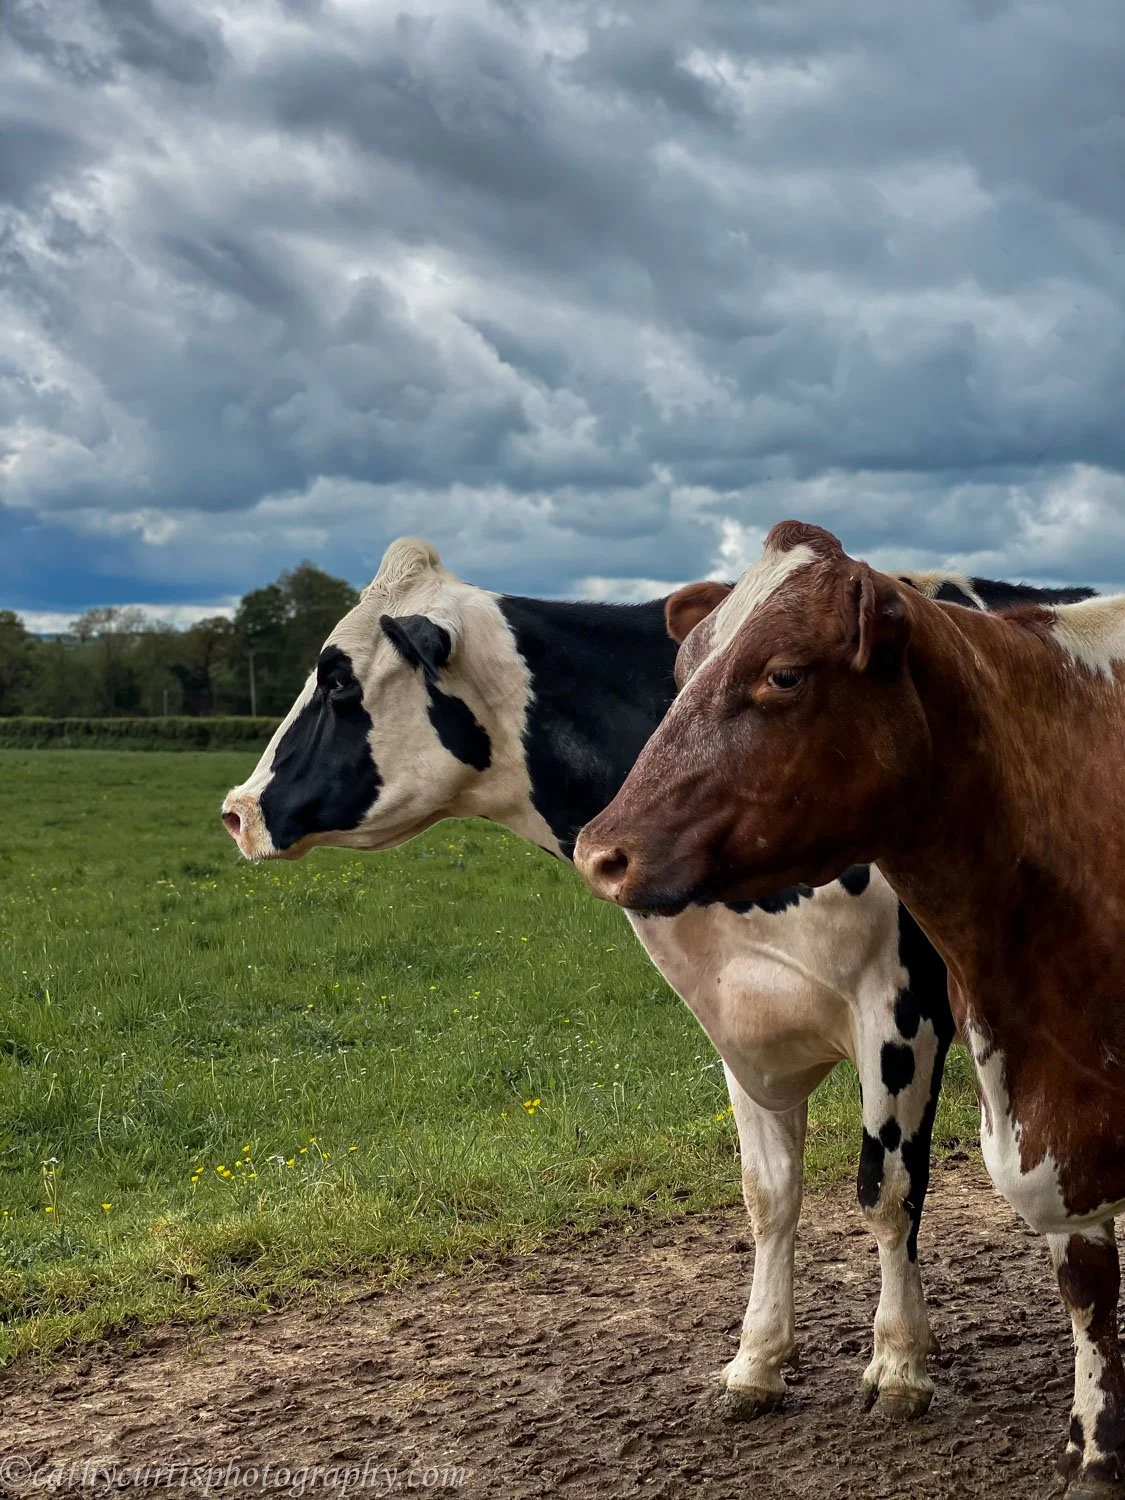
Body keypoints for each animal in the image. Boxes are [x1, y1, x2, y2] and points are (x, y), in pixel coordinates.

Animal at [221, 537, 1088, 1426]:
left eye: (337, 680)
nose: (237, 809)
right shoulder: (733, 1013)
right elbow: (767, 1194)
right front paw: (755, 1362)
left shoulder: (899, 1009)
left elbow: (887, 1191)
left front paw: (898, 1365)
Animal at [574, 519, 1125, 1496]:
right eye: (682, 667)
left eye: (785, 674)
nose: (601, 852)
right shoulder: (1035, 1087)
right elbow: (1087, 1277)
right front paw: (1094, 1445)